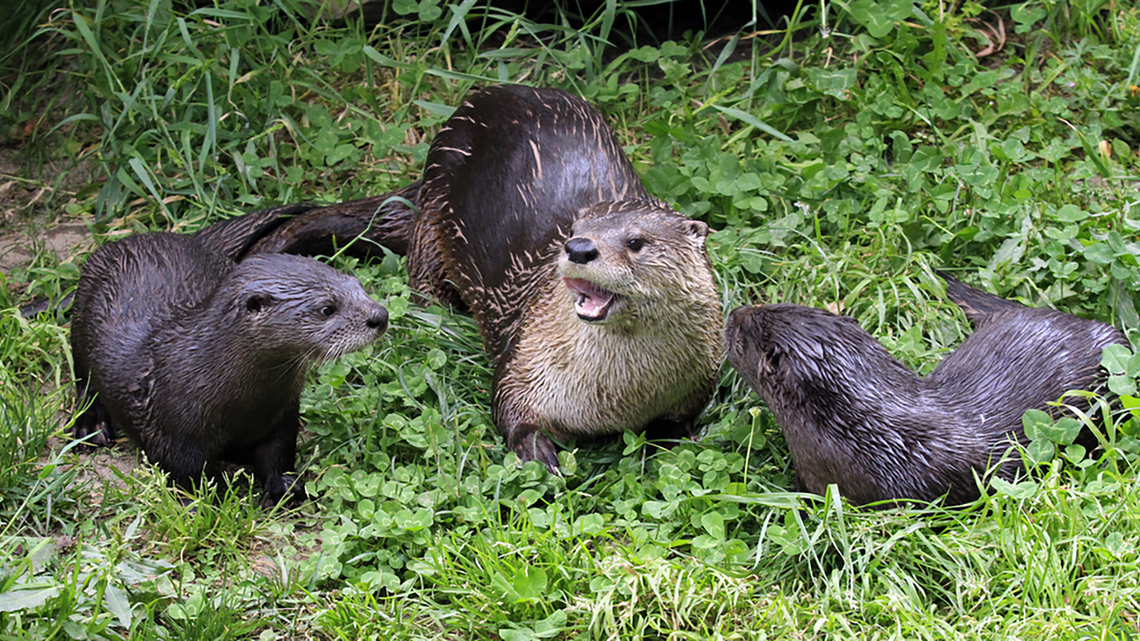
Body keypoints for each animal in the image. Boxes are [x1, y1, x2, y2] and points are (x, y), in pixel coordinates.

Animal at [70, 232, 388, 504]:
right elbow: (188, 476)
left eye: (358, 286)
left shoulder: (282, 414)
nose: (380, 315)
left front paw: (283, 488)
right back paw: (91, 427)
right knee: (83, 381)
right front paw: (207, 501)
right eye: (327, 308)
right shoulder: (174, 435)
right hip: (80, 324)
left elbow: (277, 453)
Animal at [195, 84, 724, 472]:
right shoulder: (524, 363)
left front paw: (675, 441)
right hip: (436, 206)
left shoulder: (698, 379)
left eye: (636, 241)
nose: (578, 249)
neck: (617, 398)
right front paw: (540, 454)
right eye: (575, 228)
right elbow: (509, 410)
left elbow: (680, 422)